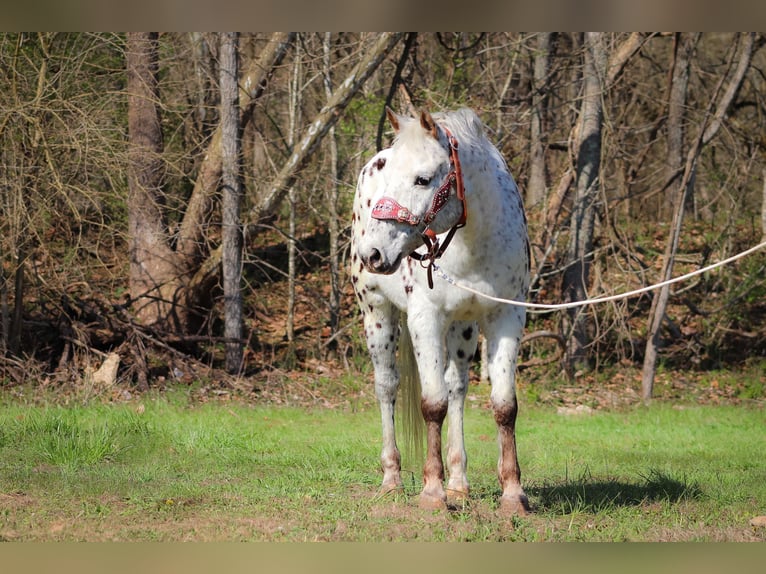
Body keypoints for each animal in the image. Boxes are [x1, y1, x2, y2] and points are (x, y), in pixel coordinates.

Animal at [352, 108, 532, 516]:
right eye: (388, 175)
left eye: (423, 179)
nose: (373, 254)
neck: (472, 245)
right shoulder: (426, 319)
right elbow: (432, 404)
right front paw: (432, 492)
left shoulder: (506, 319)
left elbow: (503, 406)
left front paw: (513, 494)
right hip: (376, 314)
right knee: (387, 386)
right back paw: (392, 479)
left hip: (462, 329)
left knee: (457, 388)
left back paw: (459, 484)